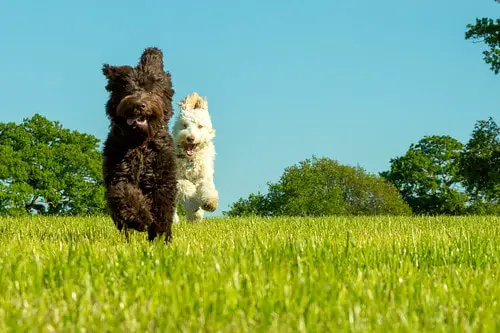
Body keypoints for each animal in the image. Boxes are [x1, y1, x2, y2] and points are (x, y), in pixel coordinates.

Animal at [173, 92, 218, 222]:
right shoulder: (177, 179)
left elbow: (207, 188)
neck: (191, 159)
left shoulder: (203, 176)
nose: (190, 138)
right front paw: (193, 205)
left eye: (200, 126)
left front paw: (210, 203)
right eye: (184, 125)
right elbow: (186, 188)